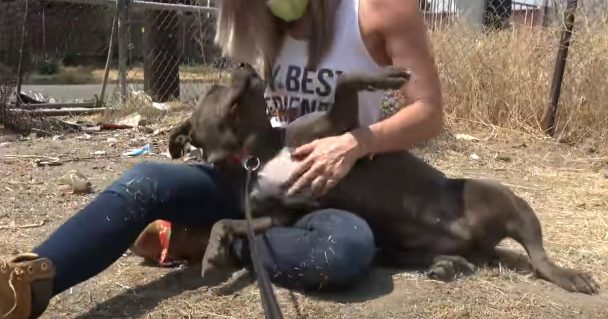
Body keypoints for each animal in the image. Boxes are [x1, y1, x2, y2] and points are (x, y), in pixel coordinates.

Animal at [167, 62, 600, 296]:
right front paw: (213, 252)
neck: (260, 153)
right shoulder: (274, 216)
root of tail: (480, 244)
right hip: (400, 247)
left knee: (540, 258)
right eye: (214, 86)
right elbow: (226, 221)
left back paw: (569, 275)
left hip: (506, 199)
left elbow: (345, 82)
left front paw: (386, 77)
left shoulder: (337, 125)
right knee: (467, 258)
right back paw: (449, 265)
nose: (243, 64)